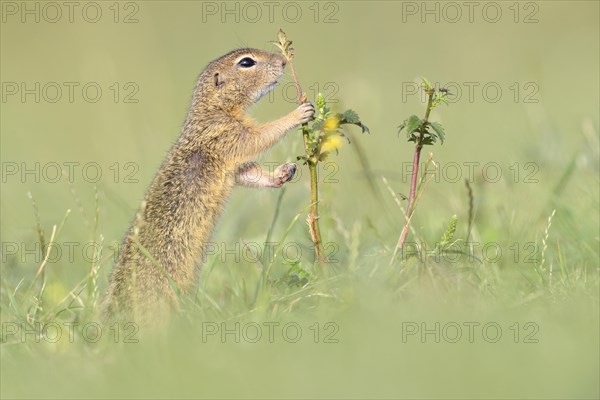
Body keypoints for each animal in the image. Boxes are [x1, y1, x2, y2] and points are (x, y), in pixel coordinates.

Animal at [103, 47, 316, 322]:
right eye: (246, 62)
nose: (282, 61)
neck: (212, 110)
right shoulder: (227, 134)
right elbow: (260, 136)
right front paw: (298, 113)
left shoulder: (230, 158)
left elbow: (248, 172)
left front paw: (283, 173)